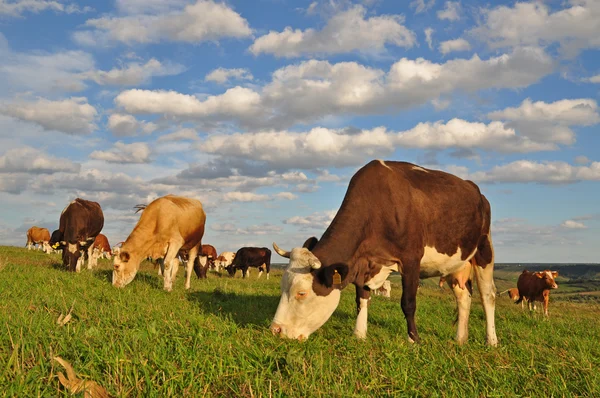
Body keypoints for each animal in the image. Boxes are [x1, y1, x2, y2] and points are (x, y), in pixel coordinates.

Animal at [270, 159, 496, 346]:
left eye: (302, 293)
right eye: (281, 287)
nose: (275, 330)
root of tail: (477, 191)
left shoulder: (411, 259)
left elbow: (408, 303)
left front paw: (414, 340)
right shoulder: (363, 263)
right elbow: (361, 299)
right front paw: (359, 334)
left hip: (484, 250)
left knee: (488, 296)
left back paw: (491, 341)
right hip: (455, 263)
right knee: (463, 297)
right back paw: (460, 339)